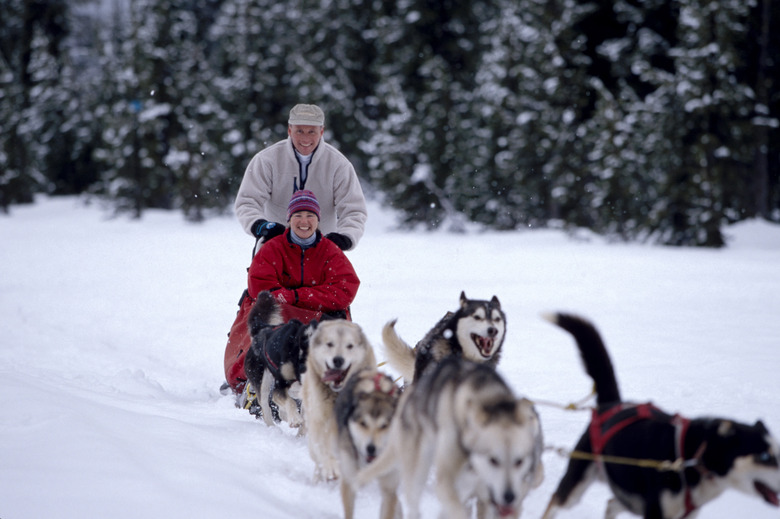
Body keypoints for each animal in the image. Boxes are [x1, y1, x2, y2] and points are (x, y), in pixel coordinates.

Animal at [247, 292, 314, 430]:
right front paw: (295, 420)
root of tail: (263, 329)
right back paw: (273, 427)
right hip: (263, 381)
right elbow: (290, 402)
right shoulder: (279, 386)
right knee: (266, 406)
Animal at [302, 320, 378, 484]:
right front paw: (331, 466)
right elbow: (324, 448)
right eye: (330, 344)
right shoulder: (320, 422)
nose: (338, 360)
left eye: (349, 346)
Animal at [354, 358, 544, 519]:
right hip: (418, 469)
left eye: (519, 461)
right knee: (414, 504)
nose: (509, 496)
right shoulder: (448, 482)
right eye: (493, 459)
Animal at [544, 312, 780, 519]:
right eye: (764, 456)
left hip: (630, 496)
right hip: (576, 487)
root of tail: (612, 404)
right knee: (555, 501)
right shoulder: (657, 511)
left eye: (778, 453)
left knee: (611, 504)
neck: (690, 455)